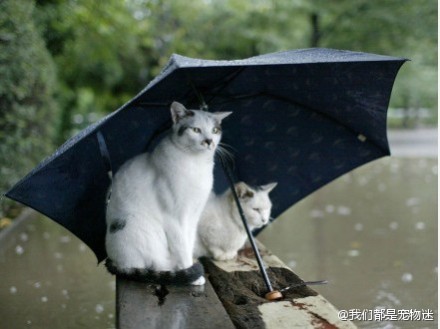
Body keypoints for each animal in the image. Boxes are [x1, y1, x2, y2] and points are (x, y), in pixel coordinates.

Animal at [105, 101, 232, 284]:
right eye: (196, 130)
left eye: (215, 130)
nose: (209, 141)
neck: (196, 164)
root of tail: (115, 262)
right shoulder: (174, 218)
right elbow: (182, 248)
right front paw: (192, 274)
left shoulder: (193, 216)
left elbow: (188, 243)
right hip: (142, 228)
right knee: (155, 265)